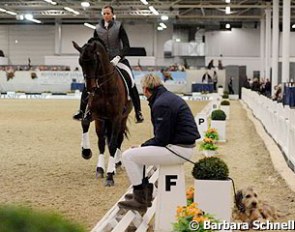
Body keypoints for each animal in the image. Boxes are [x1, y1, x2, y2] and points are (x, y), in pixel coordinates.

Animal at [73, 38, 134, 187]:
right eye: (80, 62)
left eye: (95, 61)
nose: (90, 88)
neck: (105, 88)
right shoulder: (98, 116)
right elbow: (96, 138)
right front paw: (89, 155)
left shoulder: (116, 117)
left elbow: (112, 145)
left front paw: (110, 176)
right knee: (102, 138)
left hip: (122, 119)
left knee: (118, 140)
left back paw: (117, 164)